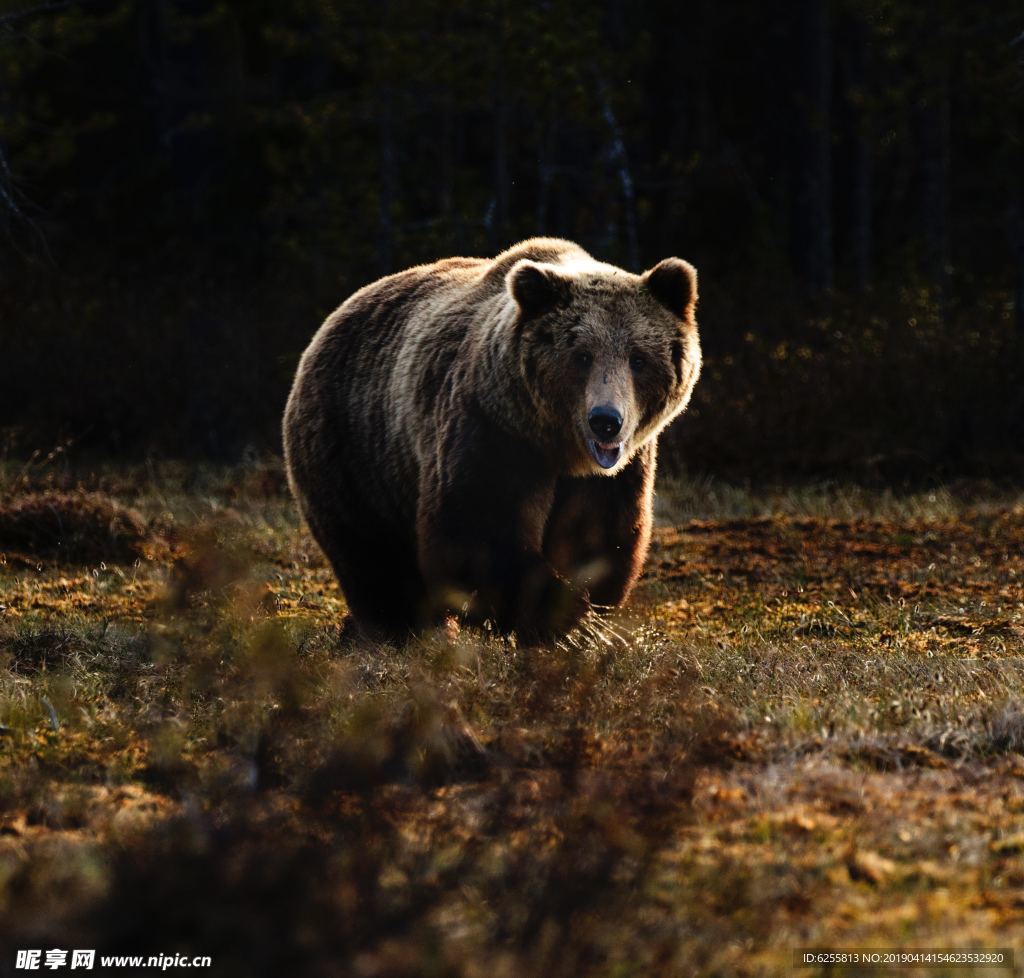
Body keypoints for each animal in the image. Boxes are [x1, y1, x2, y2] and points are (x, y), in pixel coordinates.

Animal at [284, 238, 700, 643]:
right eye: (582, 356)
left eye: (638, 358)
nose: (605, 422)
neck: (559, 446)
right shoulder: (493, 430)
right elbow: (478, 530)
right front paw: (559, 618)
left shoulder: (616, 471)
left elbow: (598, 536)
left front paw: (582, 616)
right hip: (355, 447)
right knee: (372, 553)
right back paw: (400, 629)